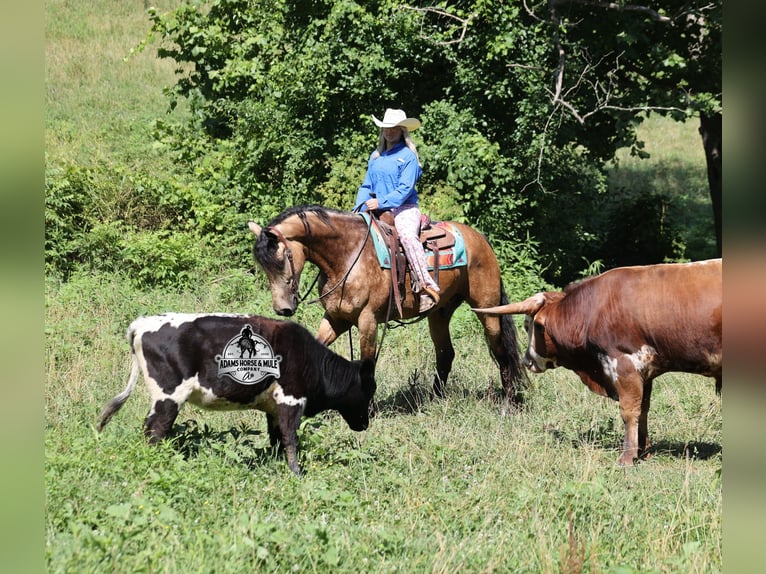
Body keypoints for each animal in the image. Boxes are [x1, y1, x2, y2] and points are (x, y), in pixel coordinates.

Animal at [248, 205, 525, 403]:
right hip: (440, 314)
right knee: (445, 354)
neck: (346, 257)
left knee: (501, 352)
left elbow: (368, 363)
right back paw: (435, 400)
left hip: (487, 310)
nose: (283, 309)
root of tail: (481, 239)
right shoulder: (336, 319)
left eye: (283, 257)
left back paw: (508, 403)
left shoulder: (368, 320)